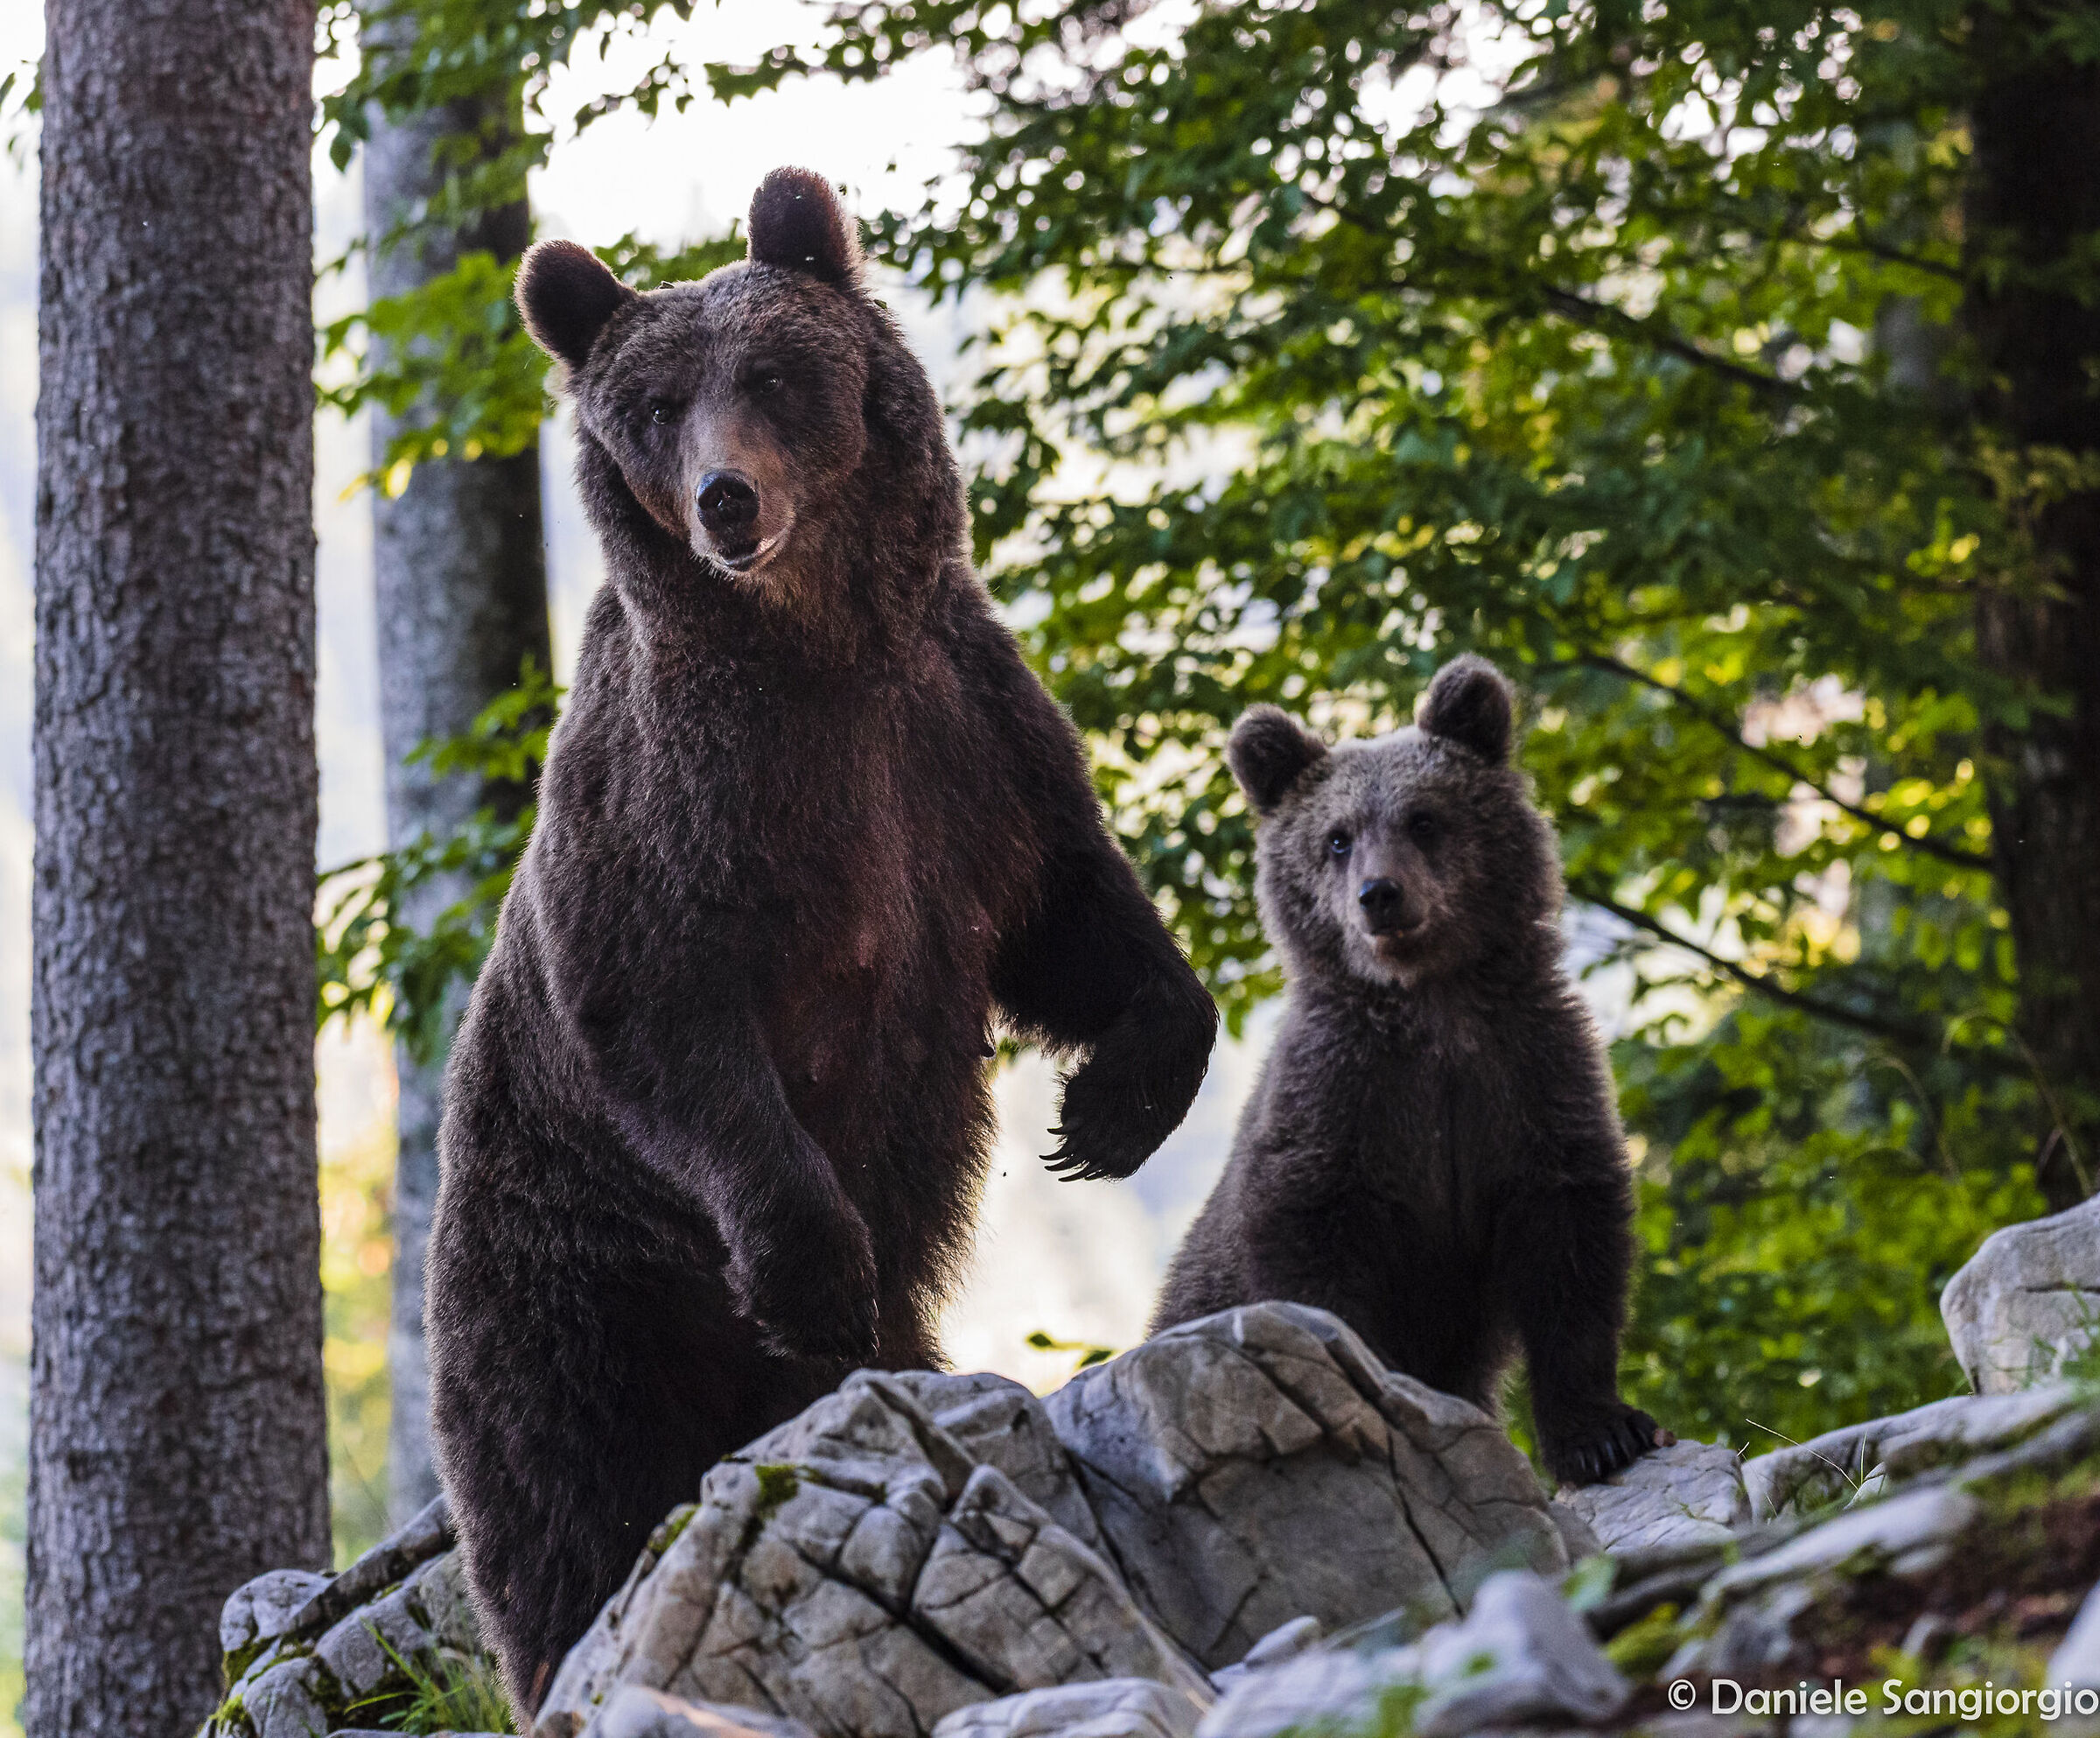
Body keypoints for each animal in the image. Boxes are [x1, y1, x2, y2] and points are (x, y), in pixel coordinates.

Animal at [427, 167, 1218, 1715]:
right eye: (654, 404)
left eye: (776, 375)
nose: (726, 498)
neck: (818, 650)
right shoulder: (682, 809)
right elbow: (663, 1013)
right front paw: (814, 1263)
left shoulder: (965, 743)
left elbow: (1075, 915)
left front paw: (1109, 1107)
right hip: (570, 1280)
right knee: (570, 1492)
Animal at [1151, 655, 1667, 1487]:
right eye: (1336, 838)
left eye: (1424, 818)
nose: (1379, 895)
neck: (1431, 1004)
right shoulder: (1343, 1106)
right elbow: (1319, 1271)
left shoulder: (1525, 1074)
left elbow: (1569, 1247)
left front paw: (1604, 1431)